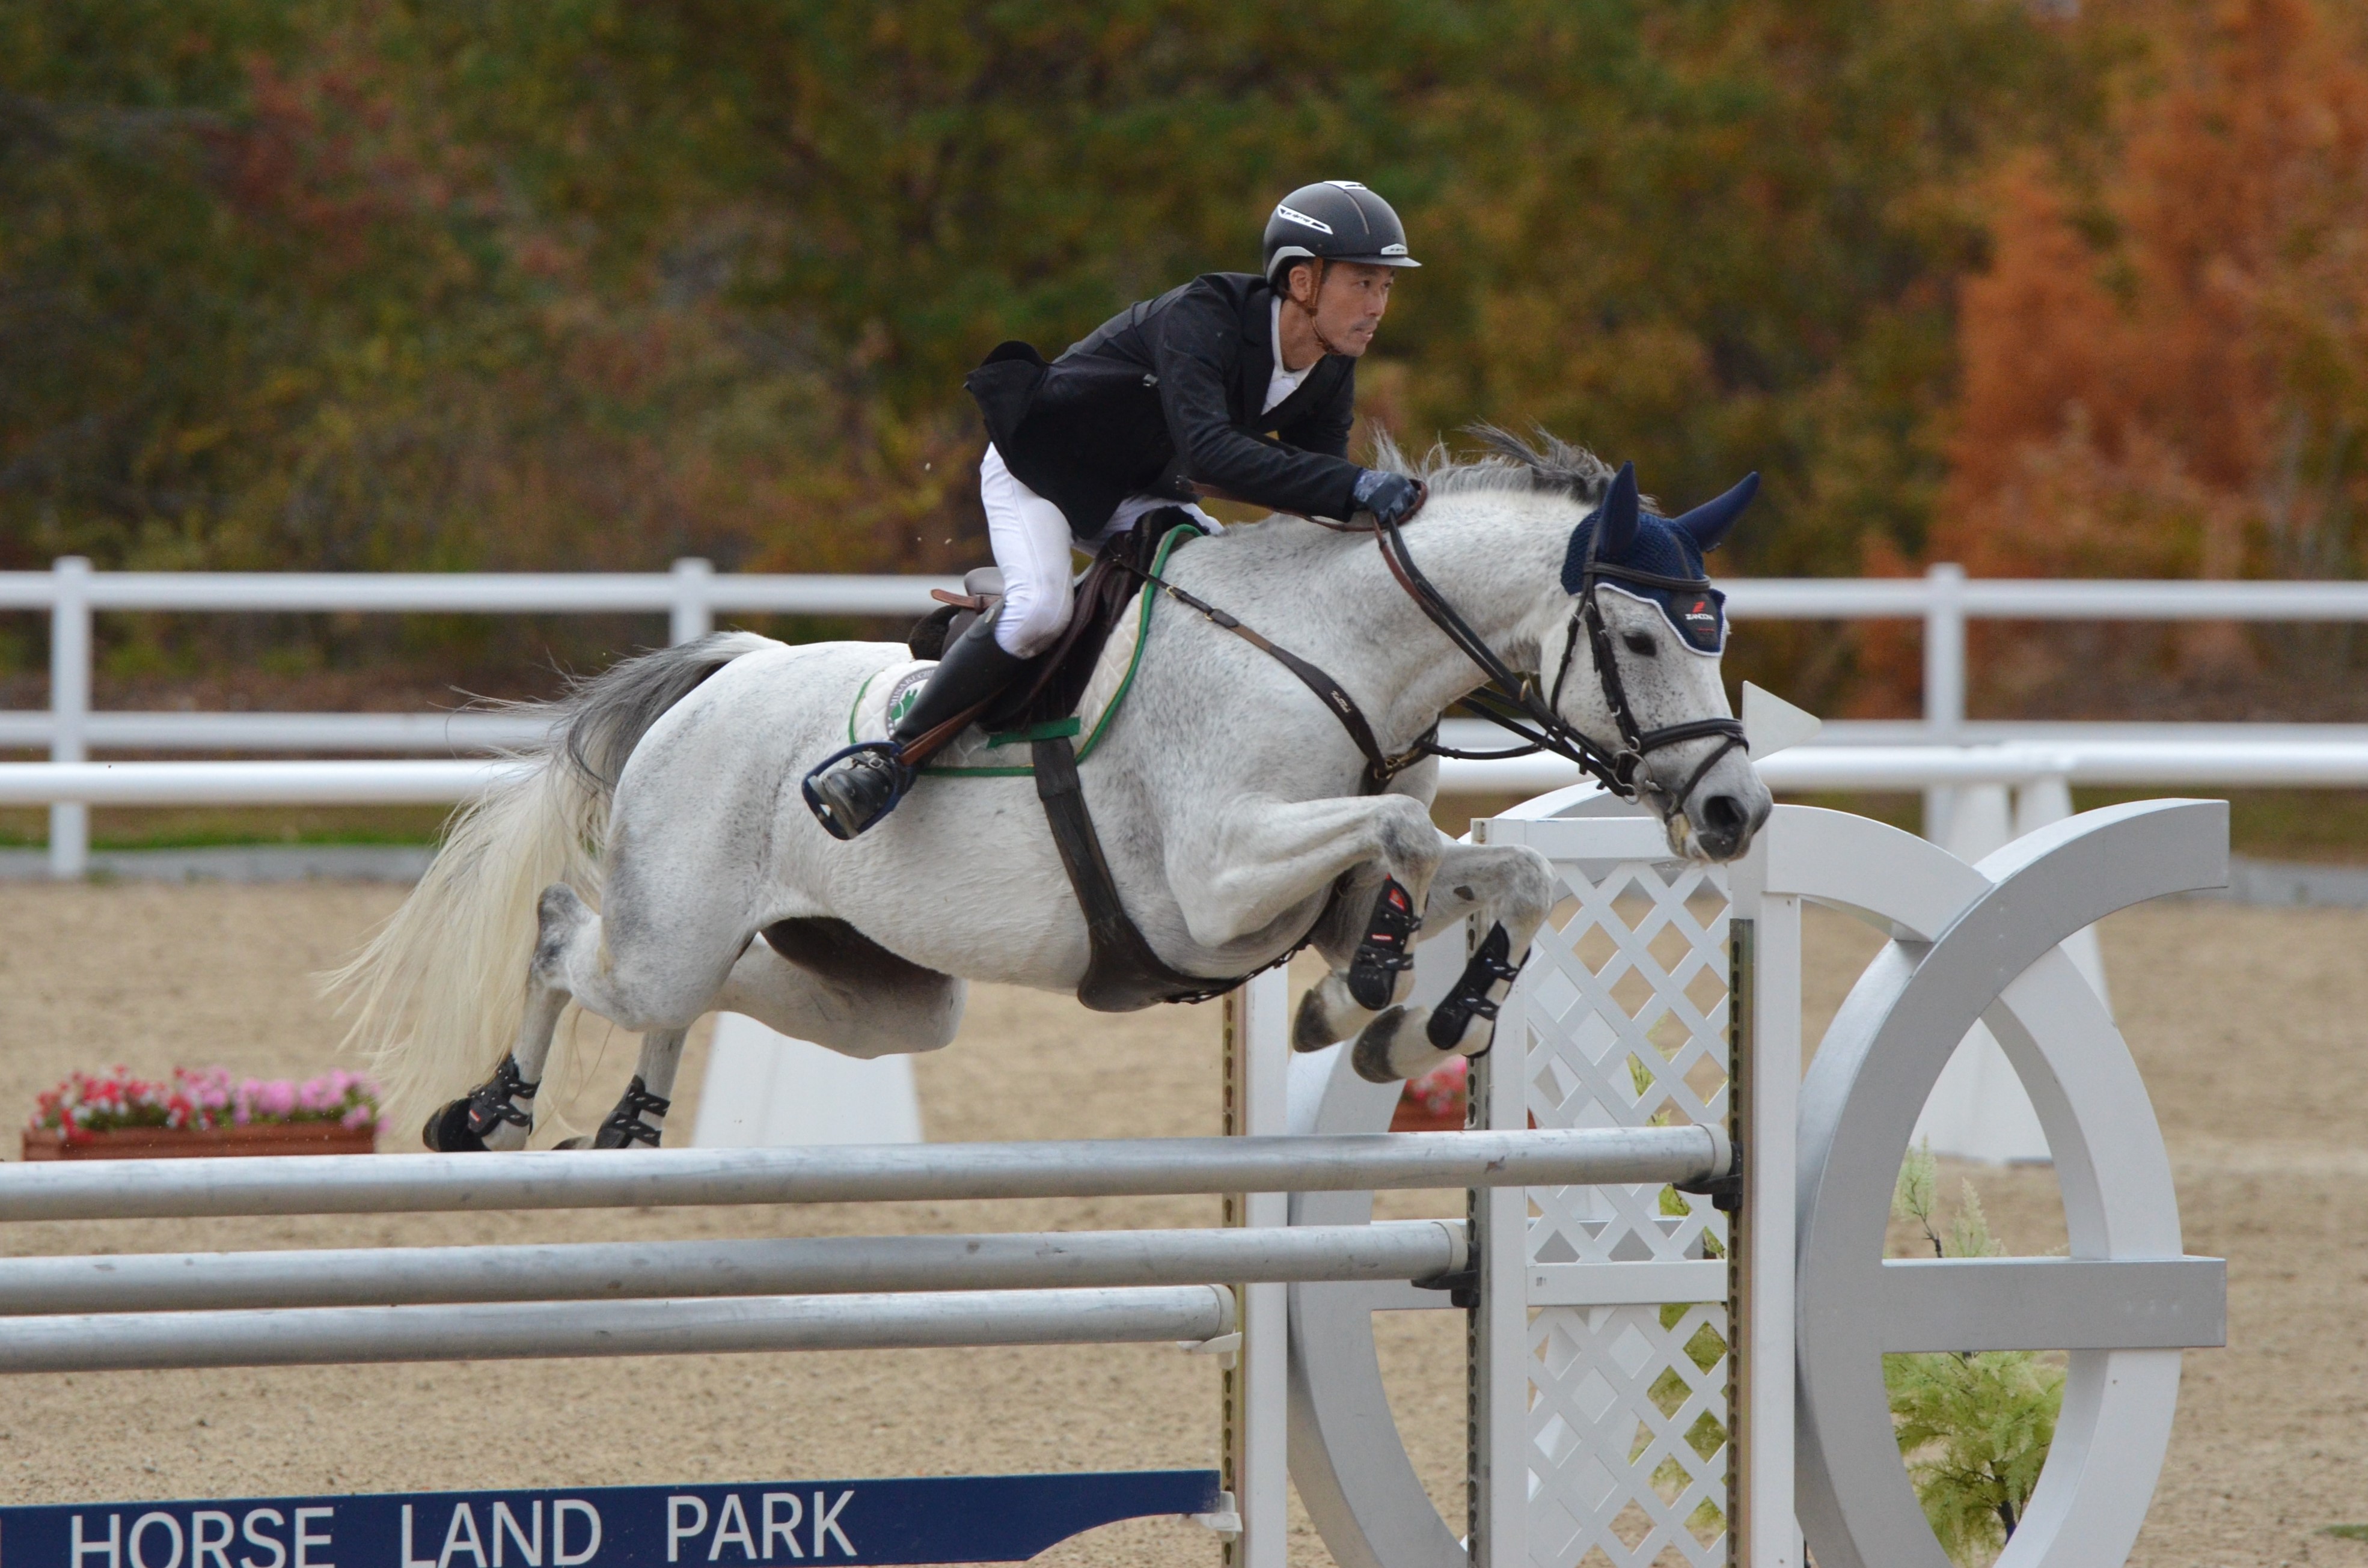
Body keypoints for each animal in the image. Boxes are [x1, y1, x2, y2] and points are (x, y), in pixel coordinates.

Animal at [333, 429, 1774, 1150]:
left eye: (1716, 630)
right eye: (1640, 635)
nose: (1733, 814)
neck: (1329, 653)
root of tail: (720, 676)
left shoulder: (1287, 895)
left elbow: (1500, 867)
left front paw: (1410, 1022)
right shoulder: (1212, 881)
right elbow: (1410, 827)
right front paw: (1373, 993)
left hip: (882, 992)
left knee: (722, 992)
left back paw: (632, 1117)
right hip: (665, 929)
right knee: (564, 935)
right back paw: (490, 1114)